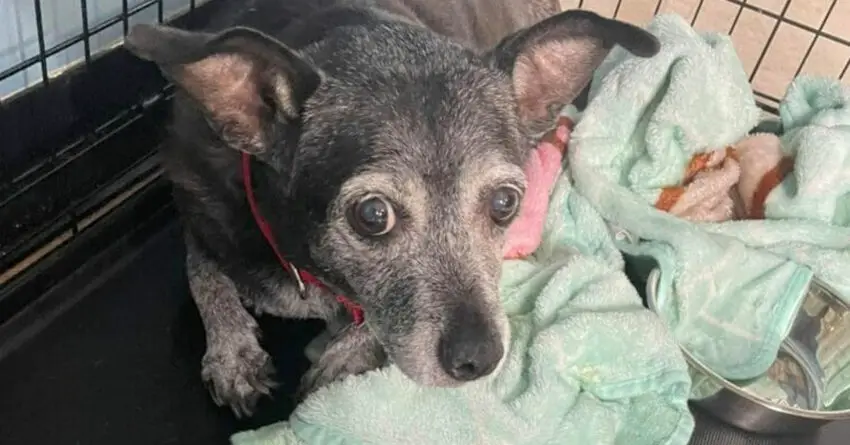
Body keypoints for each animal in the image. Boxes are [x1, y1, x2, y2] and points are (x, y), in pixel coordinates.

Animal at [122, 0, 660, 416]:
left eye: (505, 202)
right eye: (373, 215)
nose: (480, 360)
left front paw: (340, 362)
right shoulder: (197, 202)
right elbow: (202, 273)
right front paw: (232, 353)